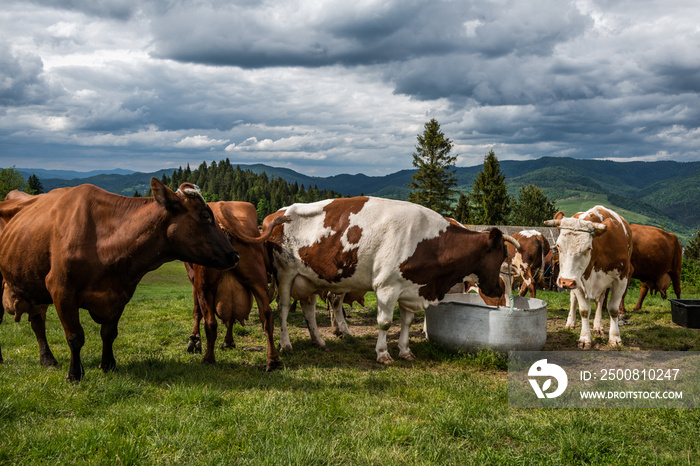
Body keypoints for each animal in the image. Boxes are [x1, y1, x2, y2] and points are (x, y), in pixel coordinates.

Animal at [0, 180, 238, 380]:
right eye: (205, 216)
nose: (234, 255)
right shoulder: (61, 289)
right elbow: (75, 337)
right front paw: (75, 374)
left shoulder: (120, 294)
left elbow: (109, 333)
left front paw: (108, 365)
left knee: (37, 322)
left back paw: (47, 359)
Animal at [185, 200, 288, 372]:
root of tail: (222, 208)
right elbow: (231, 316)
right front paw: (228, 341)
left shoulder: (194, 279)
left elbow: (196, 311)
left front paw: (194, 340)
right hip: (258, 281)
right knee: (267, 317)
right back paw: (273, 360)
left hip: (204, 287)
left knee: (210, 323)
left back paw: (208, 359)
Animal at [262, 197, 516, 364]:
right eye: (500, 257)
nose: (496, 290)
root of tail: (276, 214)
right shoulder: (387, 287)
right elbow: (384, 323)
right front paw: (383, 354)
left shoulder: (412, 289)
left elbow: (407, 322)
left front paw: (405, 351)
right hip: (285, 275)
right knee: (283, 310)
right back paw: (286, 344)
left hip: (310, 280)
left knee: (309, 310)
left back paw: (319, 342)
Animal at [548, 206, 636, 348]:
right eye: (558, 246)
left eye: (588, 248)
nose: (566, 282)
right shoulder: (577, 281)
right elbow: (584, 310)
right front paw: (584, 338)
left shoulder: (621, 280)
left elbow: (613, 309)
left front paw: (615, 338)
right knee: (573, 300)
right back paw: (570, 322)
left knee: (600, 301)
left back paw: (598, 326)